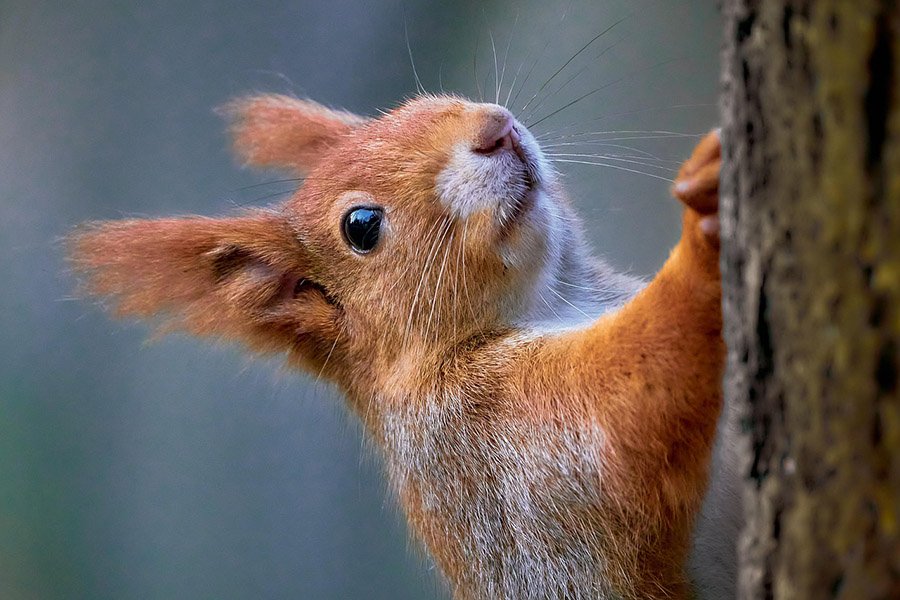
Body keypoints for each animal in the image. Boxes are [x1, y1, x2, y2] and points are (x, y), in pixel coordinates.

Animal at [71, 93, 727, 599]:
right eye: (361, 226)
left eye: (422, 101)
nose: (496, 127)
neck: (558, 301)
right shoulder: (500, 447)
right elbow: (623, 408)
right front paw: (702, 235)